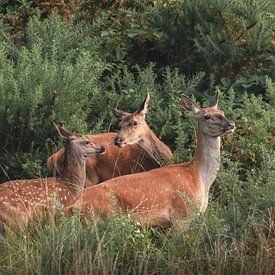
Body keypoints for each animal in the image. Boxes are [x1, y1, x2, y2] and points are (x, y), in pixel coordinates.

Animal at [64, 95, 235, 229]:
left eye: (222, 112)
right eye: (206, 116)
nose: (231, 124)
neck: (198, 177)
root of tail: (71, 206)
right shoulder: (182, 215)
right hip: (100, 220)